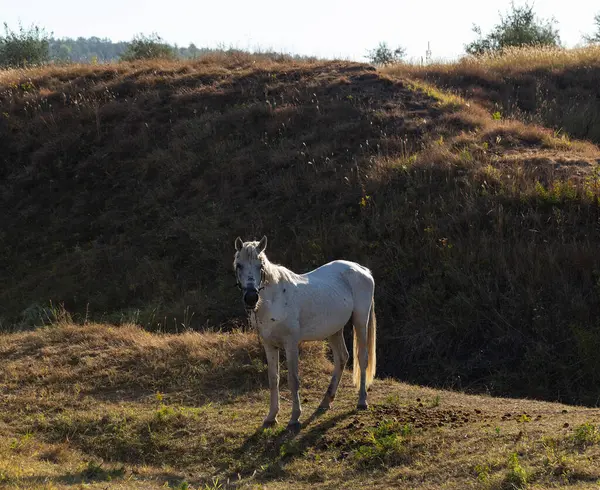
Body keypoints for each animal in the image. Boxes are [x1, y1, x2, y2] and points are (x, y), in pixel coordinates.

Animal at [233, 235, 378, 430]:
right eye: (239, 265)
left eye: (260, 265)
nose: (251, 298)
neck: (275, 299)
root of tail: (363, 270)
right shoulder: (269, 345)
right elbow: (273, 378)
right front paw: (271, 417)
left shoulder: (291, 344)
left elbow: (293, 379)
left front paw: (295, 418)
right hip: (334, 330)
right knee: (342, 357)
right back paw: (325, 401)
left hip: (360, 321)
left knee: (362, 358)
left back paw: (362, 401)